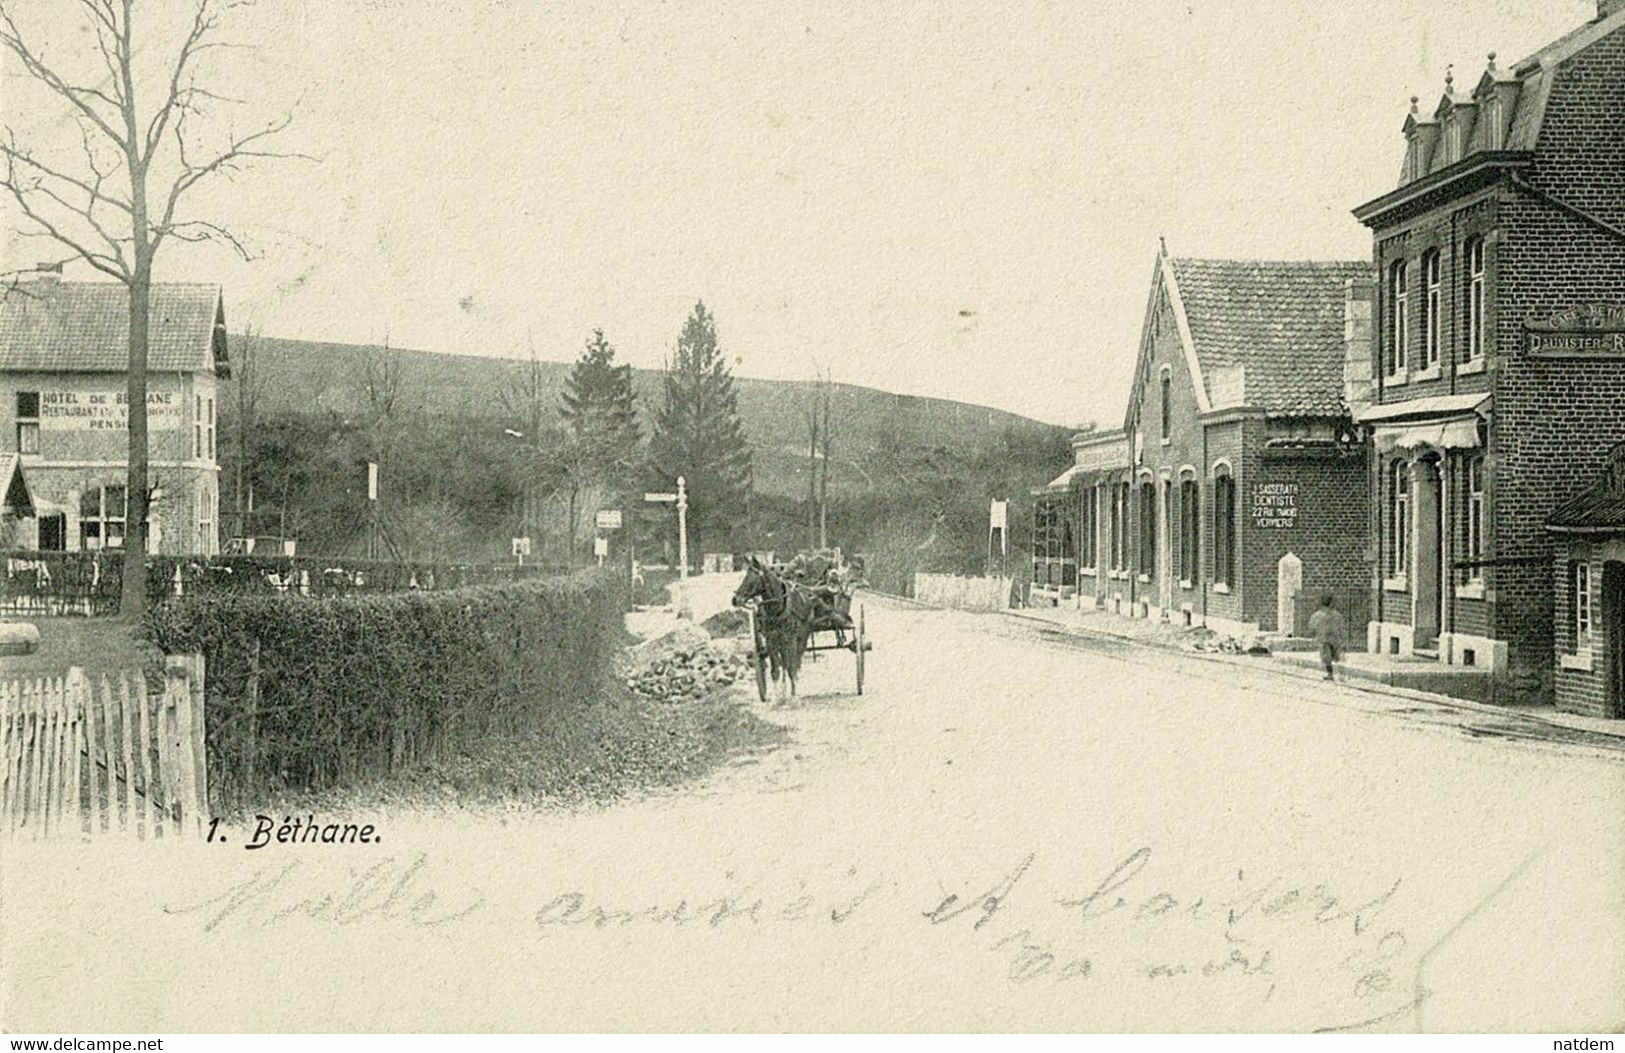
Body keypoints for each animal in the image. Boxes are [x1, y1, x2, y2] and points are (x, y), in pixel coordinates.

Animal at [734, 555, 819, 702]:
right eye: (744, 577)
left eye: (752, 579)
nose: (735, 599)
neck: (777, 609)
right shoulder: (771, 640)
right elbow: (775, 670)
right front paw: (778, 698)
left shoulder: (791, 640)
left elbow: (791, 668)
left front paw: (793, 696)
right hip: (781, 642)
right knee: (784, 663)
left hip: (801, 638)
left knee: (796, 661)